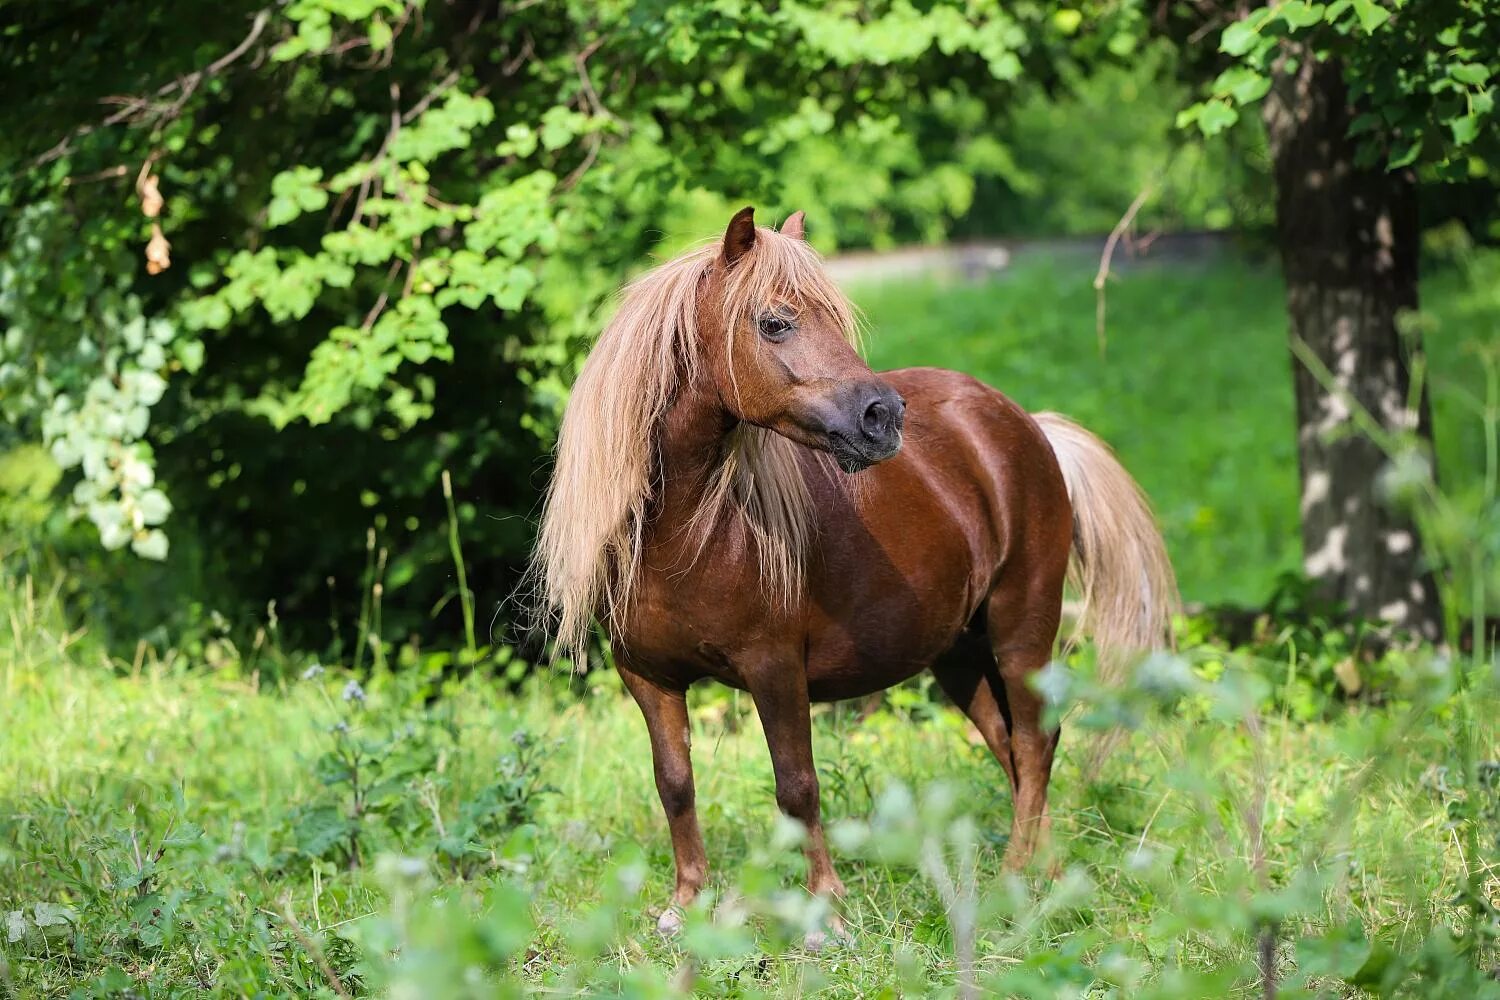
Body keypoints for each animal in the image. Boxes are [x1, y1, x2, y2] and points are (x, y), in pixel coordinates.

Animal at [534, 206, 1176, 941]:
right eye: (774, 322)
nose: (883, 416)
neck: (690, 534)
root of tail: (1028, 426)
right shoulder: (648, 677)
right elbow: (676, 783)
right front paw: (685, 904)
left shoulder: (775, 668)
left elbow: (797, 787)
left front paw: (825, 914)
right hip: (958, 654)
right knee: (1012, 745)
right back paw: (1042, 873)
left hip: (1023, 632)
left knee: (1037, 742)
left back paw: (1015, 883)